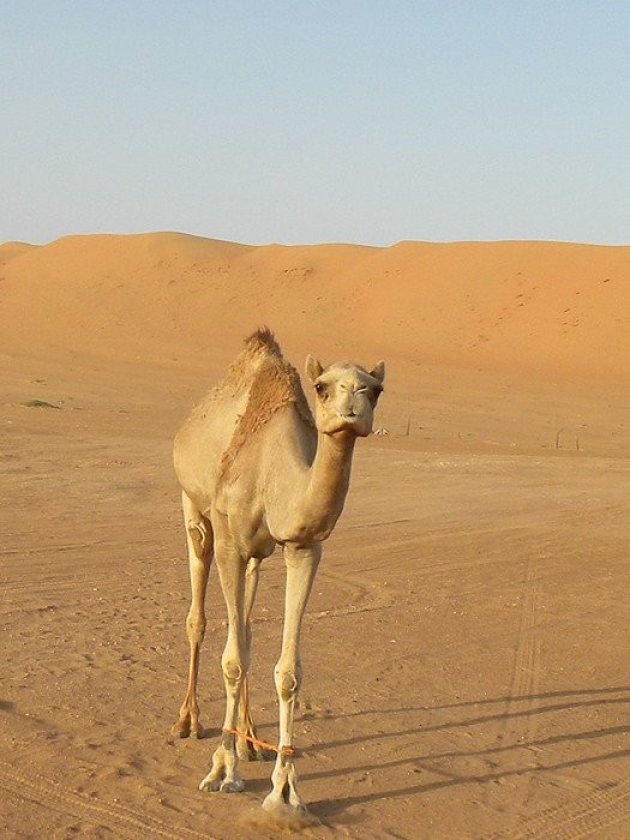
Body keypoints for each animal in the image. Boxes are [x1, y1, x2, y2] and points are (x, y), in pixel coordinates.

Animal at [170, 328, 386, 820]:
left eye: (376, 389)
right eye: (322, 386)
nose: (353, 405)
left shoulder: (302, 547)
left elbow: (286, 670)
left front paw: (285, 790)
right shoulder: (229, 540)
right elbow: (231, 660)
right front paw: (222, 769)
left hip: (257, 554)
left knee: (246, 627)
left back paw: (251, 738)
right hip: (195, 510)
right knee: (199, 615)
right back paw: (189, 721)